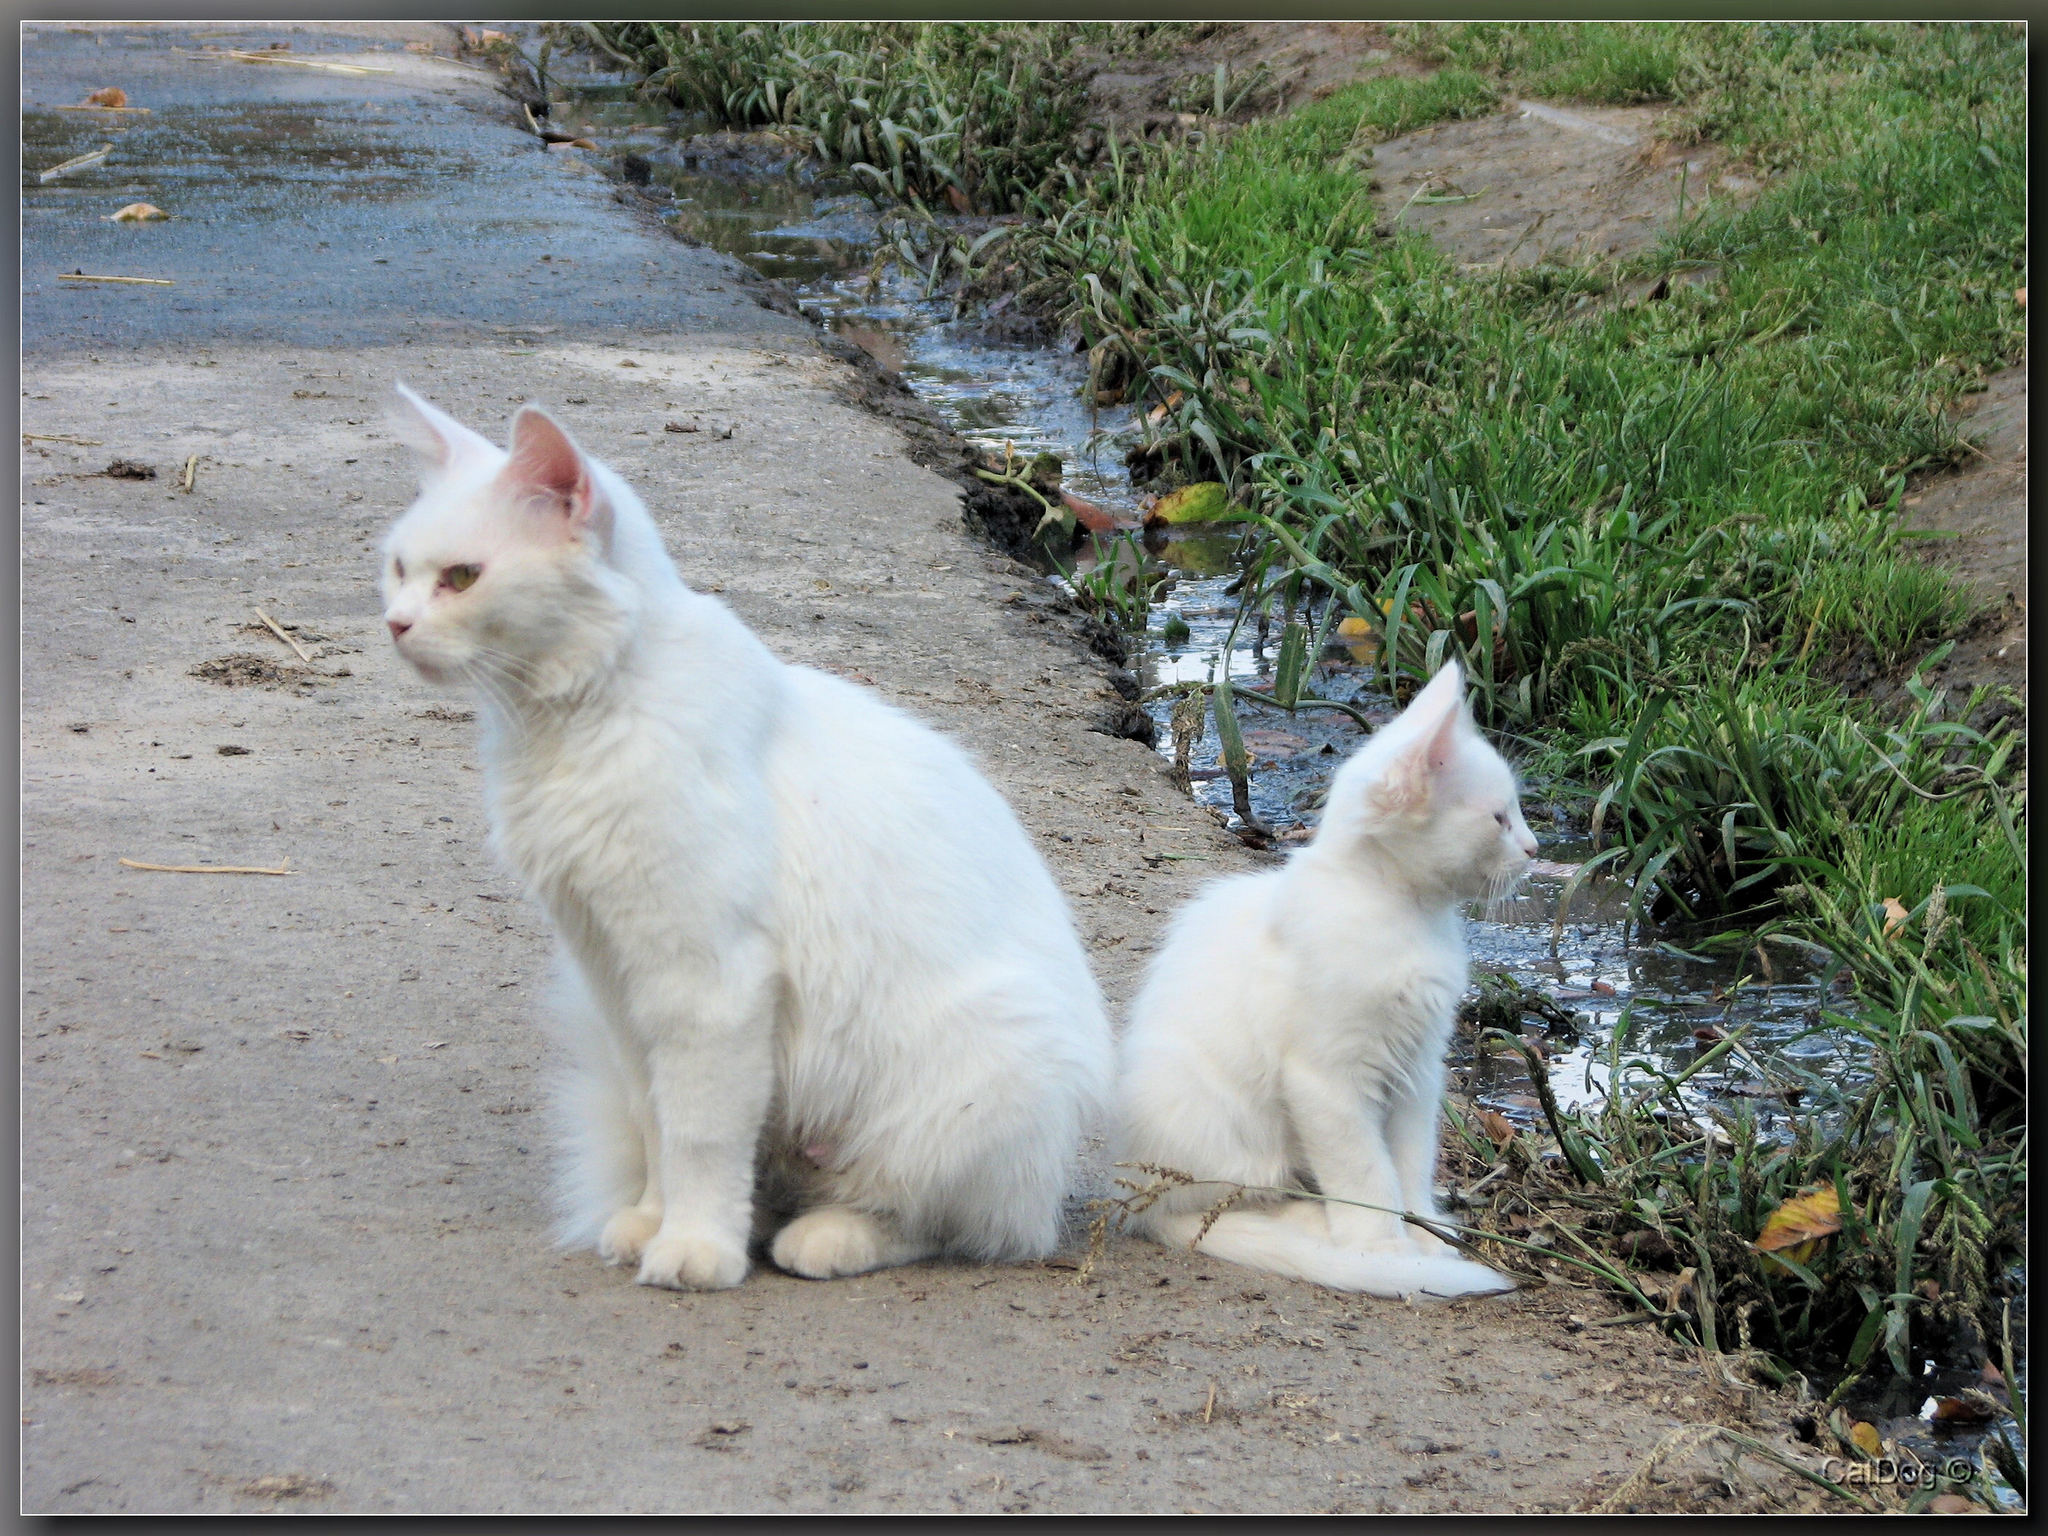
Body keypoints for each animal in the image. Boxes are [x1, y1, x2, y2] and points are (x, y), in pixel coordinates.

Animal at [376, 385, 1114, 1286]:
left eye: (462, 577)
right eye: (399, 568)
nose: (395, 623)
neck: (573, 717)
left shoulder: (709, 982)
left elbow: (698, 1134)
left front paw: (695, 1248)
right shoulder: (615, 974)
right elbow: (656, 1120)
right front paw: (652, 1221)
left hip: (977, 1072)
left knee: (939, 1221)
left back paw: (824, 1239)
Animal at [1122, 667, 1540, 1302]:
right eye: (1499, 818)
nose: (1535, 850)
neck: (1408, 917)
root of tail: (1137, 1198)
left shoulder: (1418, 1069)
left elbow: (1409, 1161)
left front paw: (1422, 1231)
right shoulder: (1326, 1077)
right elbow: (1365, 1172)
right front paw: (1383, 1247)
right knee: (1223, 1204)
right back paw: (1313, 1226)